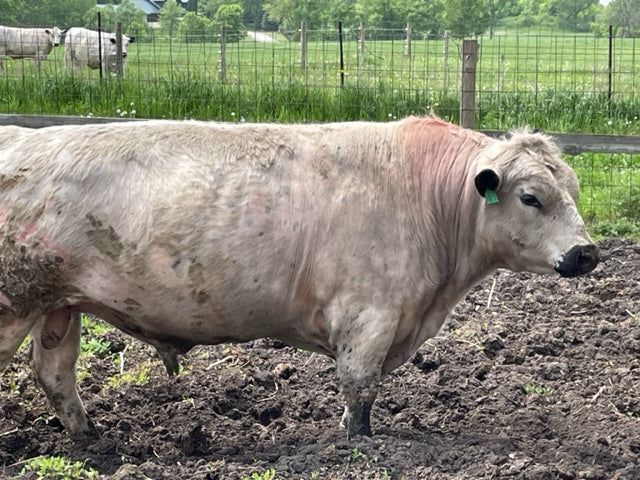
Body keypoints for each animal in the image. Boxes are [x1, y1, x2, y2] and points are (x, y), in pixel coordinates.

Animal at [0, 116, 598, 443]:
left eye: (571, 188)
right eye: (530, 197)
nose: (586, 252)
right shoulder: (370, 314)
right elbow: (360, 388)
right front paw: (360, 445)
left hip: (58, 306)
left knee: (54, 373)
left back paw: (92, 438)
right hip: (15, 302)